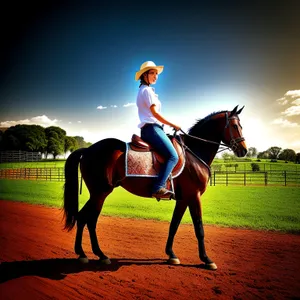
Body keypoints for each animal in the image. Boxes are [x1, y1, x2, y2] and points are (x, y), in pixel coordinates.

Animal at [62, 105, 247, 270]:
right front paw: (207, 259)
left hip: (97, 193)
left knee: (82, 217)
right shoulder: (194, 196)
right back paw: (98, 255)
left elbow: (174, 225)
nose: (244, 150)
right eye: (235, 126)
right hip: (100, 193)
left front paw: (171, 254)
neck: (193, 153)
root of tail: (88, 150)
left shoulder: (183, 199)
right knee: (90, 219)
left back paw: (83, 253)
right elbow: (199, 228)